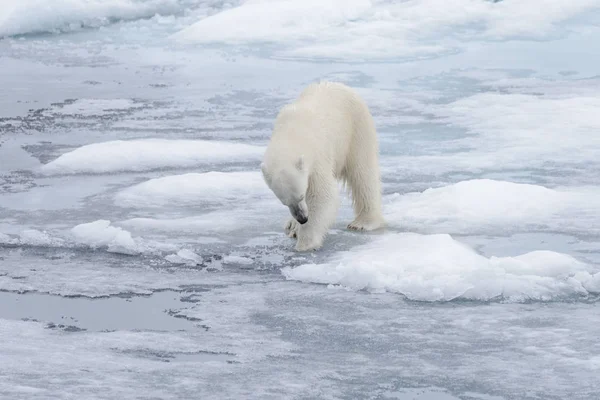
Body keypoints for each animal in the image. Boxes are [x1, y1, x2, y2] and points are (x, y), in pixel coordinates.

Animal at [262, 81, 384, 250]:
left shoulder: (317, 156)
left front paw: (304, 243)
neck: (292, 132)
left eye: (301, 195)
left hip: (356, 130)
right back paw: (291, 225)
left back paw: (363, 222)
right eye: (284, 202)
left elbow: (322, 194)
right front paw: (295, 228)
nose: (302, 219)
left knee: (362, 174)